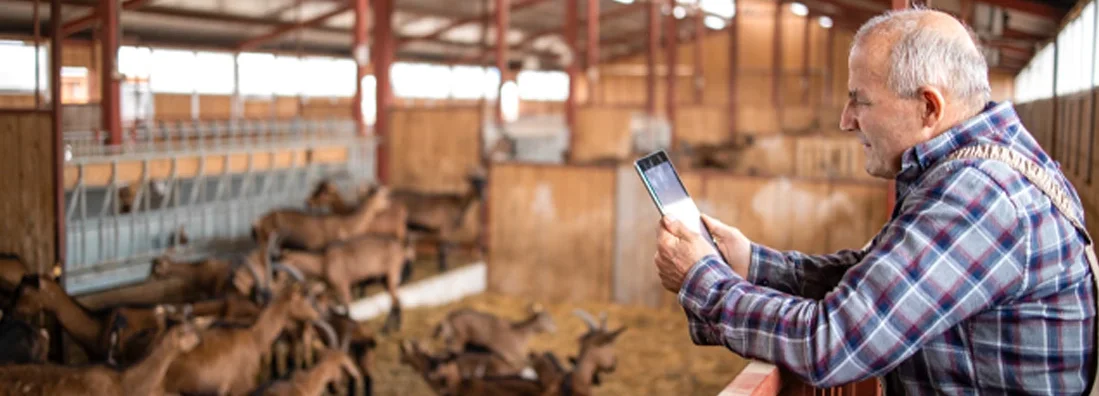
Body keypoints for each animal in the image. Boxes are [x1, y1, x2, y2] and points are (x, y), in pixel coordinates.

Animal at [274, 233, 413, 332]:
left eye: (282, 269)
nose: (276, 285)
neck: (323, 261)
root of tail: (403, 249)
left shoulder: (343, 285)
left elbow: (347, 308)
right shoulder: (329, 286)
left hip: (391, 273)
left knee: (395, 299)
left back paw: (387, 329)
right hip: (385, 277)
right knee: (396, 299)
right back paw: (393, 327)